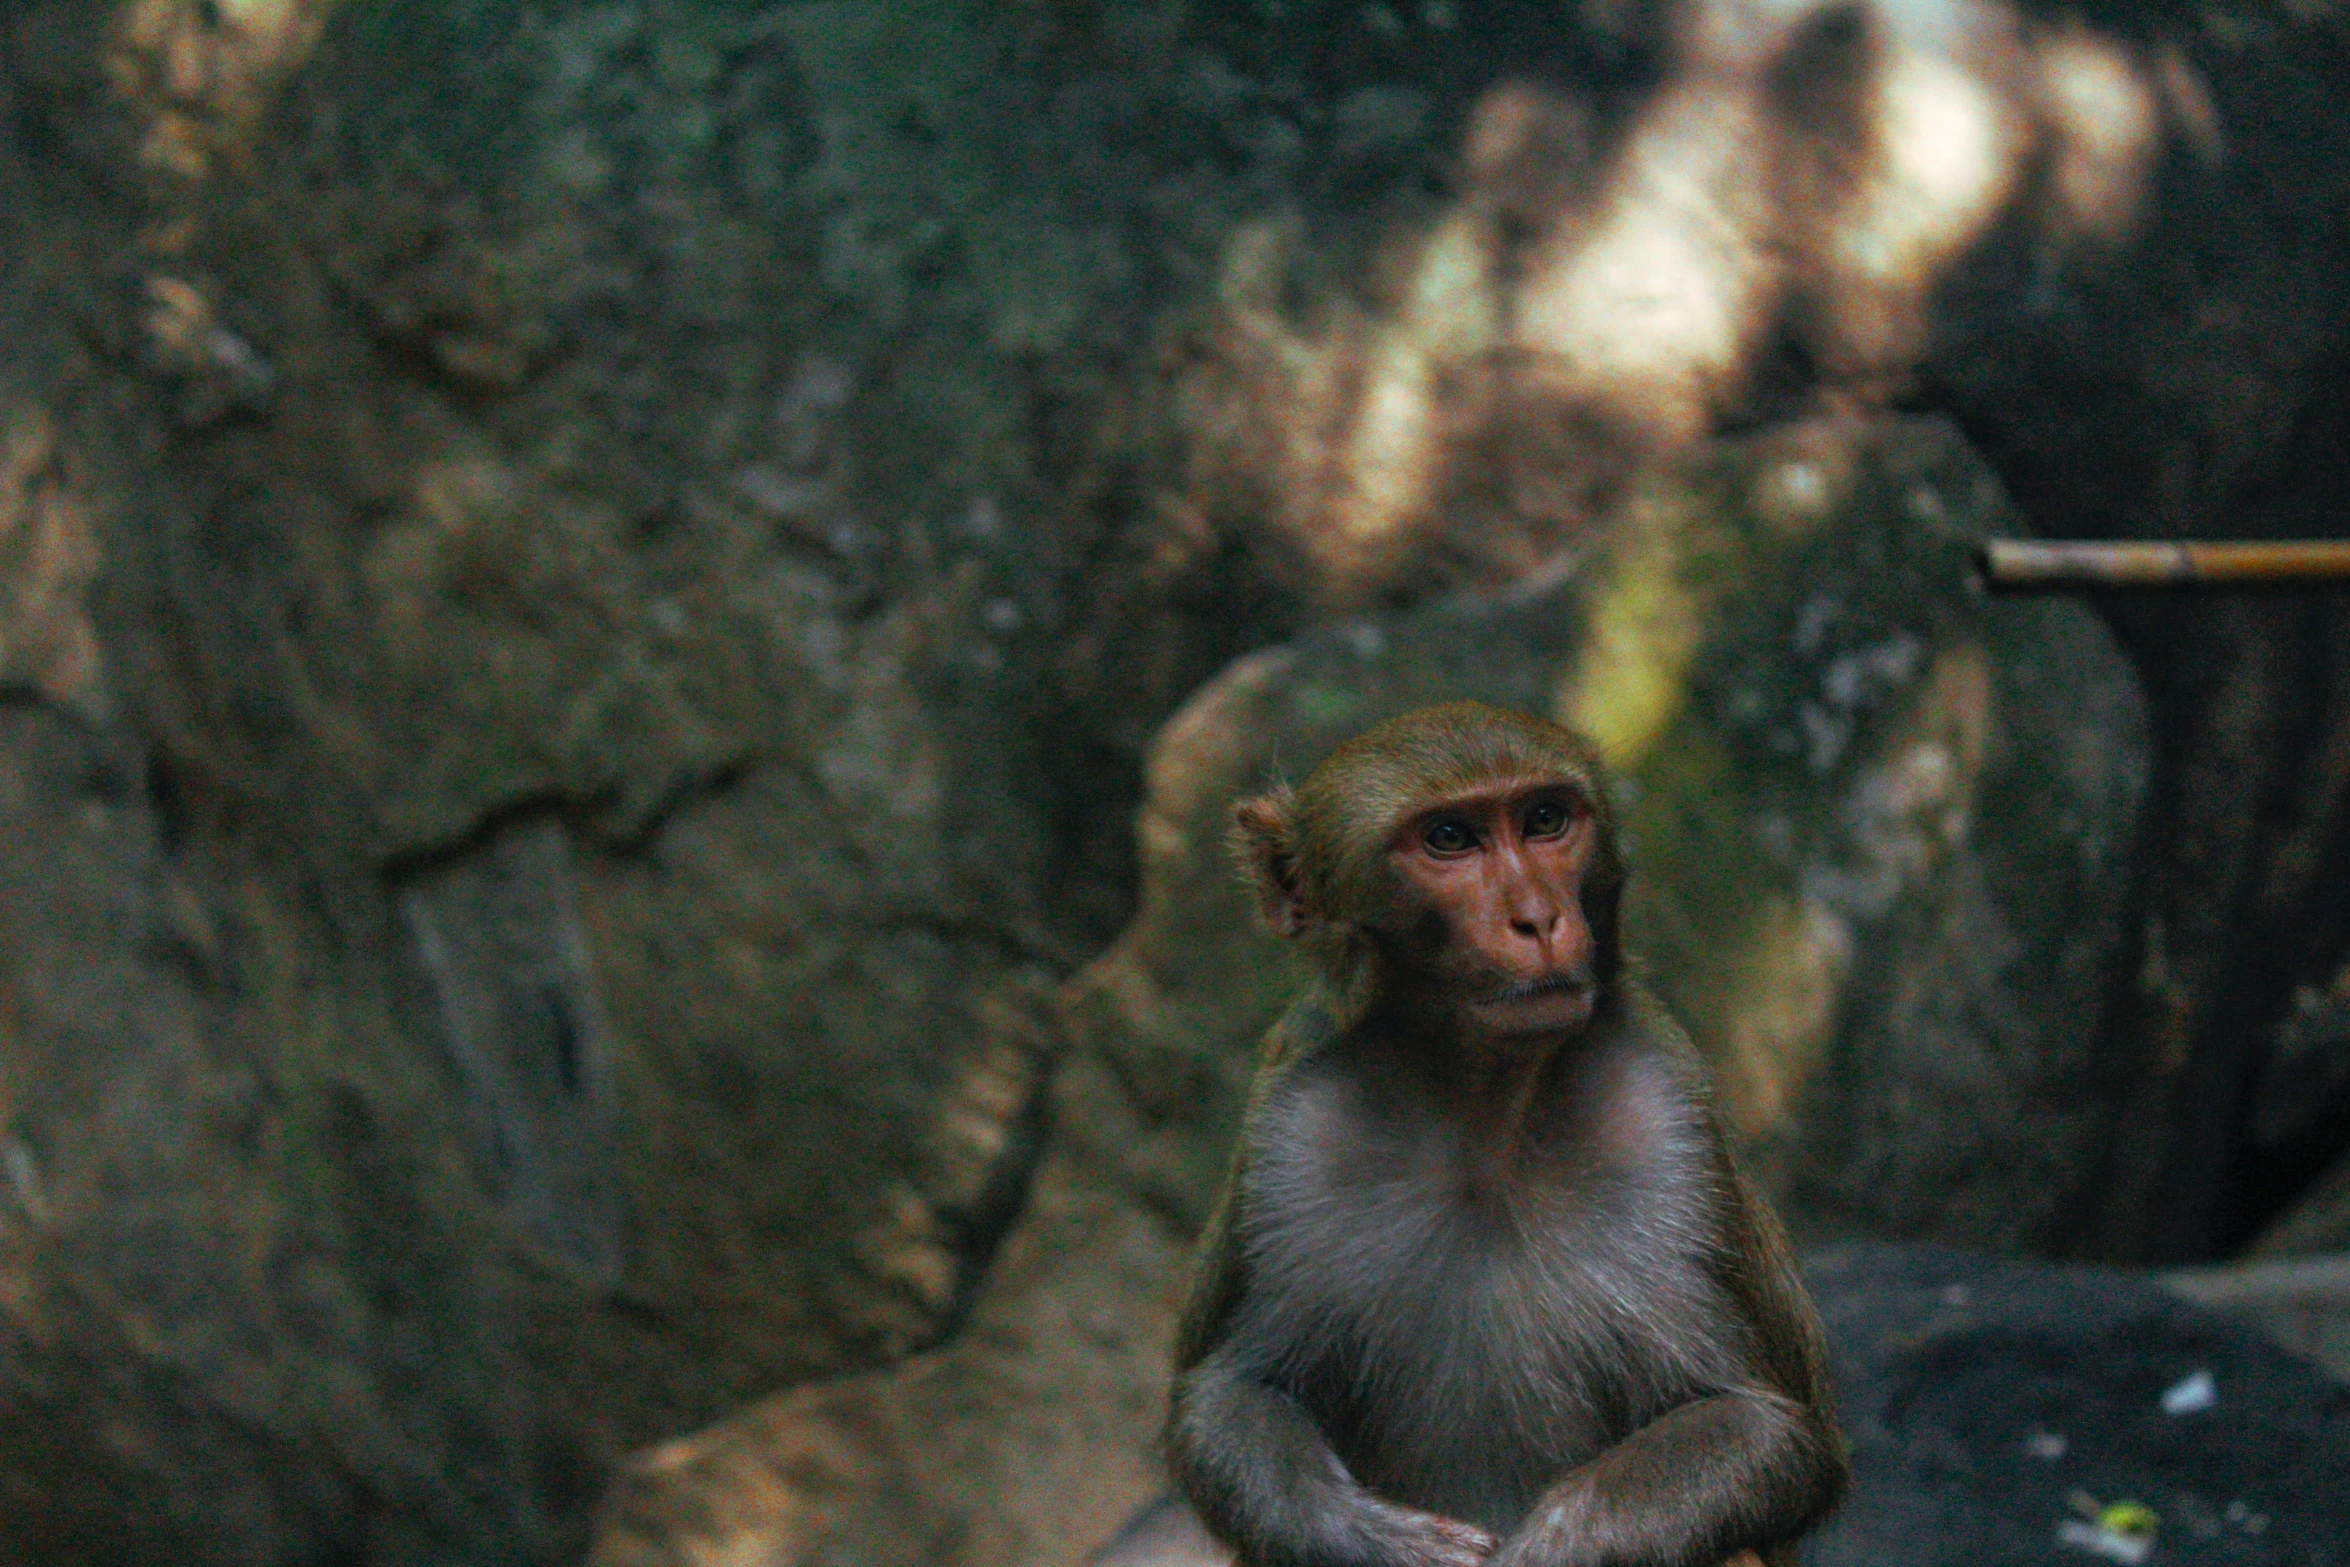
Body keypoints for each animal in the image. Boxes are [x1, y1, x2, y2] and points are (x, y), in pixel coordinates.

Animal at [1165, 704, 1842, 1567]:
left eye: (1546, 820)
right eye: (1450, 838)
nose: (1539, 919)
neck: (1481, 1113)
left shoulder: (1666, 1121)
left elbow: (1761, 1425)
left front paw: (1551, 1549)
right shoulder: (1290, 1131)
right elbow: (1228, 1397)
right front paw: (1384, 1544)